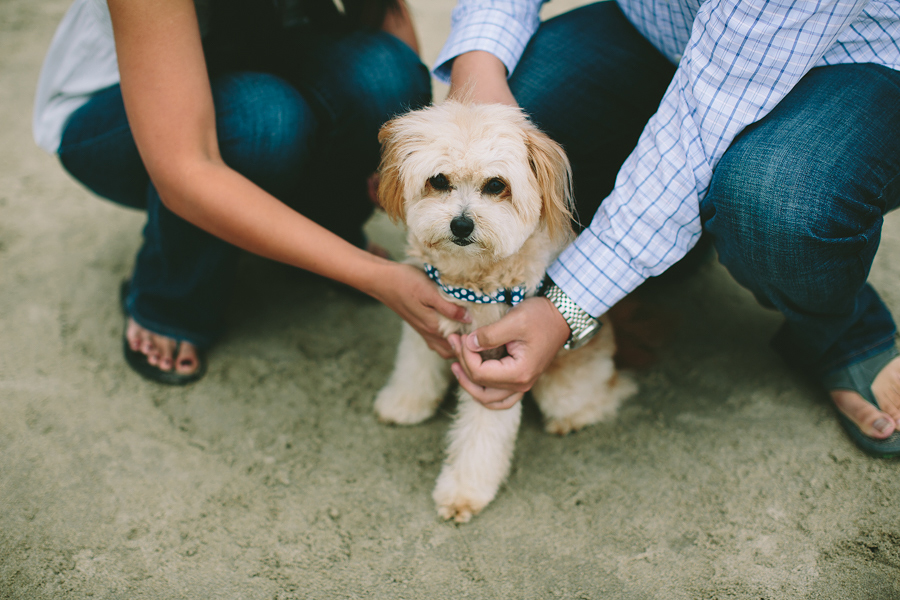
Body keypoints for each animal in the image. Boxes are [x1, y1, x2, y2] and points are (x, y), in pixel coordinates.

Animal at [376, 101, 636, 524]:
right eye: (439, 180)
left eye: (496, 185)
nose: (461, 224)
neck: (469, 279)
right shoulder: (424, 324)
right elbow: (414, 370)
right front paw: (404, 405)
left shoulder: (496, 369)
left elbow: (480, 436)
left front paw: (463, 492)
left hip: (562, 386)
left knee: (608, 396)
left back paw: (573, 418)